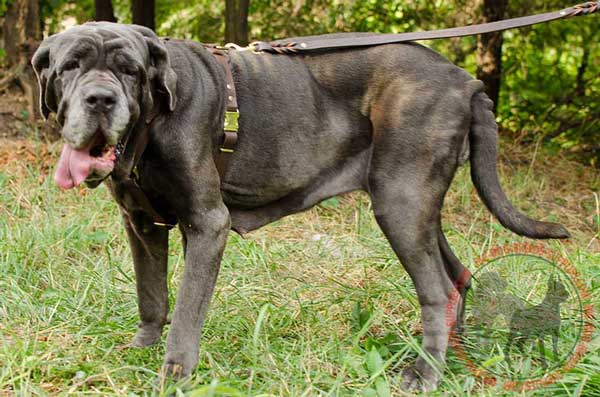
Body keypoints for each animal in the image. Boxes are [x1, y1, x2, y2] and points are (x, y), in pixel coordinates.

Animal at [30, 23, 568, 392]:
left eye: (130, 70)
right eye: (70, 66)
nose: (101, 99)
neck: (153, 121)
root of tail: (466, 81)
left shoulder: (207, 224)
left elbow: (184, 311)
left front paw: (173, 376)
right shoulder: (142, 223)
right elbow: (152, 296)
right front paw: (140, 352)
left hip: (401, 200)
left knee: (438, 290)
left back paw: (425, 372)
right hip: (416, 207)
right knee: (457, 276)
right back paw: (454, 355)